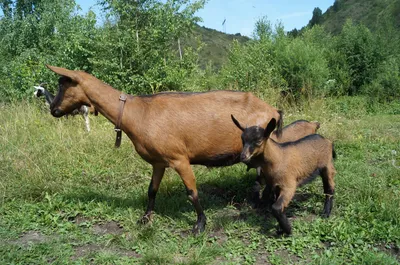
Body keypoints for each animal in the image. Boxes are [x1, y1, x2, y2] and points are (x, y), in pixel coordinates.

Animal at [45, 65, 282, 232]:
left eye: (63, 85)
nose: (53, 109)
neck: (138, 112)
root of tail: (274, 111)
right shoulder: (158, 162)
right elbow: (152, 190)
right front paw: (145, 218)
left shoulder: (179, 159)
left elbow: (192, 193)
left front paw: (200, 224)